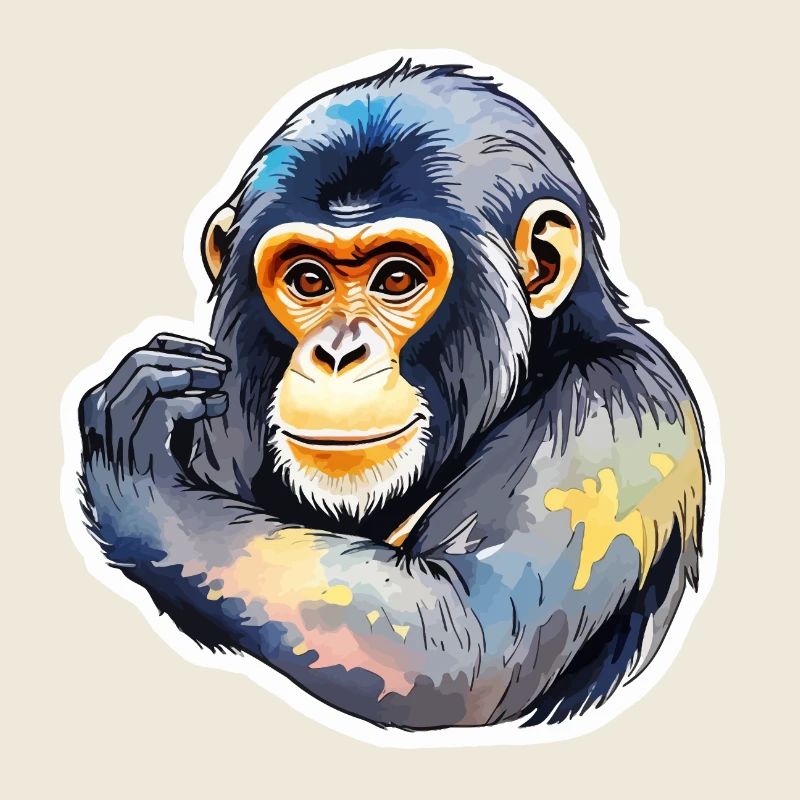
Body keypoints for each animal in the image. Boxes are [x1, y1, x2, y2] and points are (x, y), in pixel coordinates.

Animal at [76, 59, 708, 731]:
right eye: (308, 279)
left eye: (398, 277)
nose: (337, 353)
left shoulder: (612, 419)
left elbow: (461, 636)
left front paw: (135, 455)